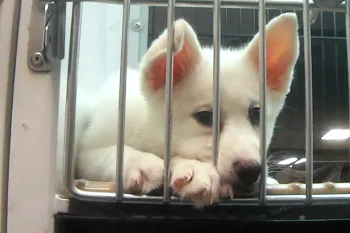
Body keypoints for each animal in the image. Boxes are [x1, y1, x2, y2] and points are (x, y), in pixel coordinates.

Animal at [75, 12, 300, 206]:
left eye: (256, 114)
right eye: (205, 117)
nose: (251, 171)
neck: (152, 134)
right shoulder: (85, 155)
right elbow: (113, 152)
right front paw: (143, 163)